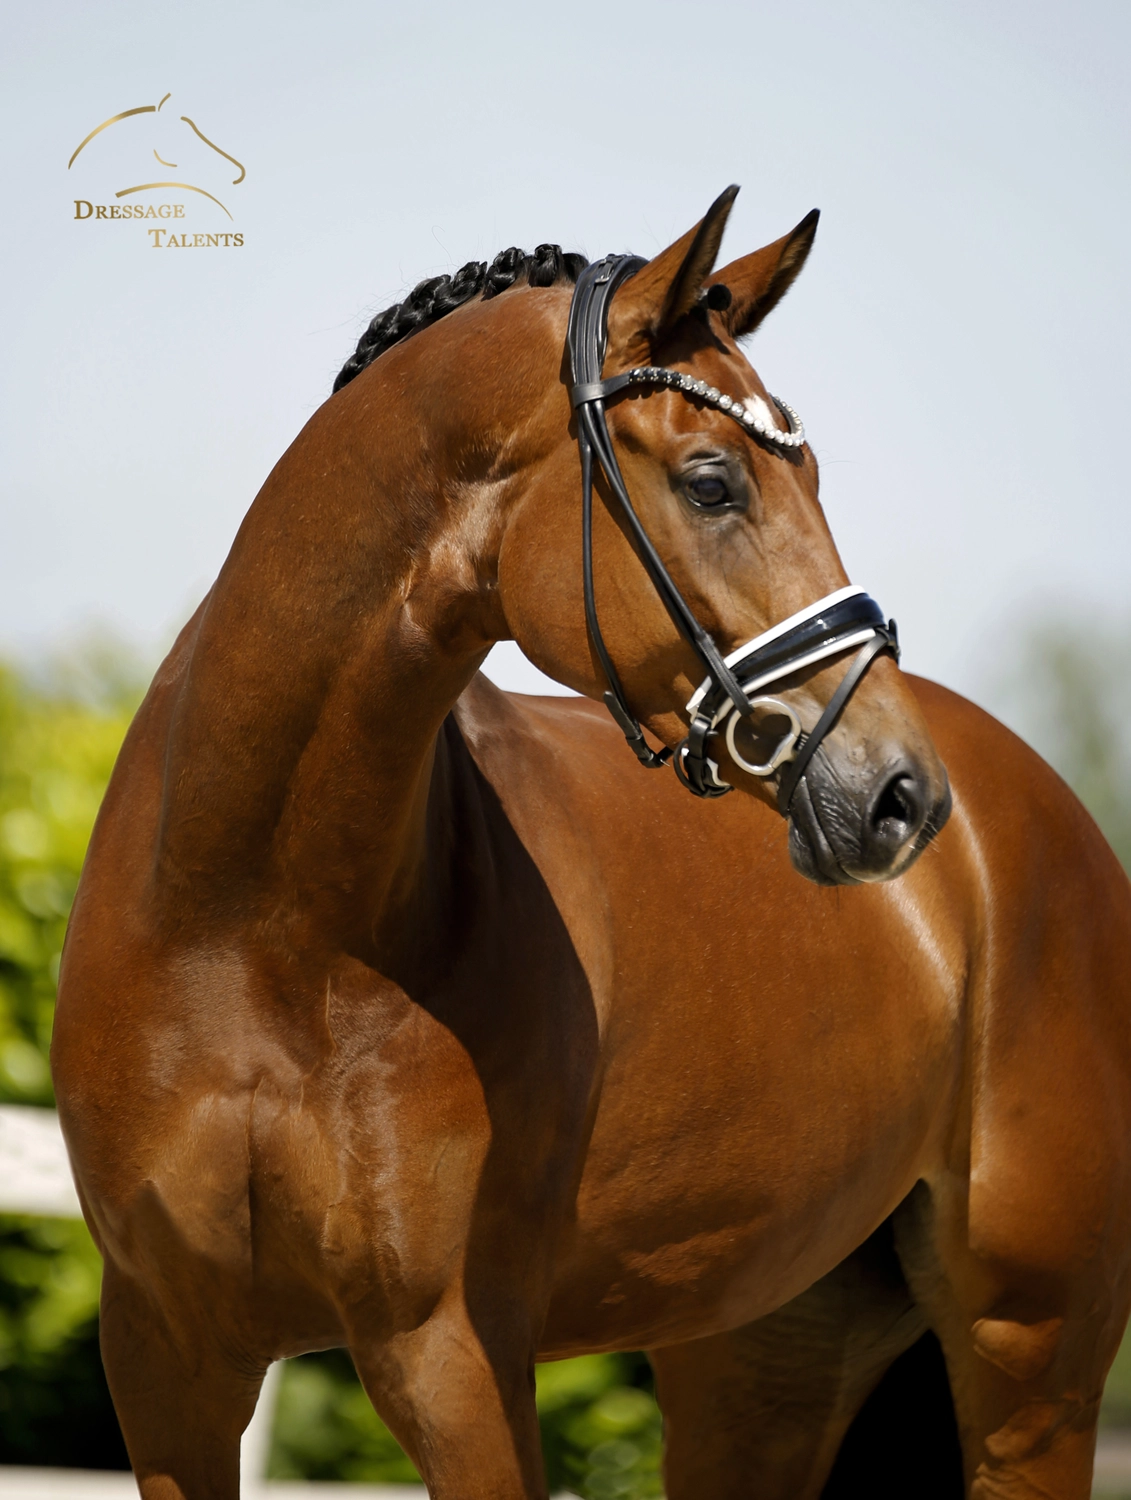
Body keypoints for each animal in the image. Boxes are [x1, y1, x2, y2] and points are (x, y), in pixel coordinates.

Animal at [51, 189, 1131, 1500]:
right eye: (713, 482)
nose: (899, 796)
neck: (253, 925)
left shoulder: (456, 1357)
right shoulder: (167, 1364)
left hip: (1032, 1355)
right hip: (762, 1363)